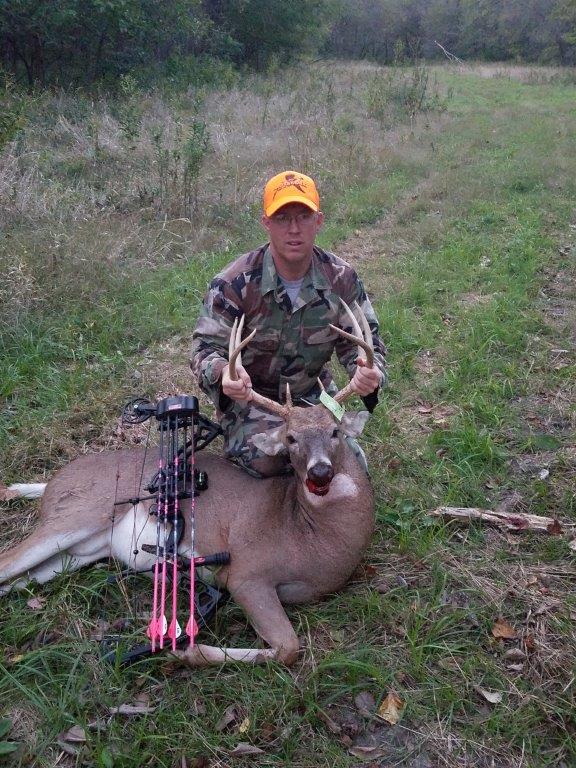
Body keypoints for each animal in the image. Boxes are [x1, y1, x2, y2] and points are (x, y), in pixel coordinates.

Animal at [0, 302, 376, 667]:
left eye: (335, 431)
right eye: (291, 438)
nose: (320, 472)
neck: (309, 535)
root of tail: (52, 481)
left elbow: (287, 647)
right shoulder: (246, 571)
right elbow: (288, 648)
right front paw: (185, 650)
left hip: (80, 552)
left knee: (15, 580)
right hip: (75, 515)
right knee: (7, 561)